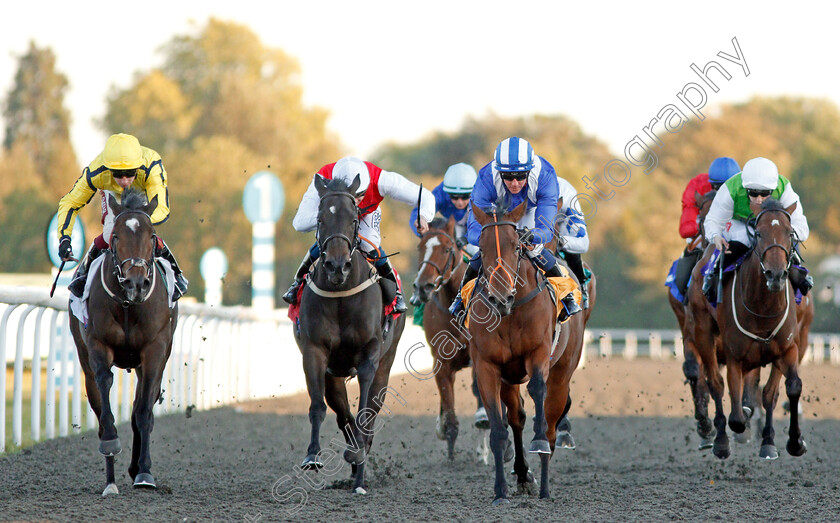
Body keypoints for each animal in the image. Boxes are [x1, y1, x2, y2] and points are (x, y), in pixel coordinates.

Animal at [69, 188, 179, 496]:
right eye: (115, 236)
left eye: (152, 235)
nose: (136, 283)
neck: (129, 306)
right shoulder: (98, 345)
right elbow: (105, 392)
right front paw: (110, 447)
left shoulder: (154, 352)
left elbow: (143, 412)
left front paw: (144, 472)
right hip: (84, 360)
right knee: (98, 402)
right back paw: (111, 478)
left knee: (142, 405)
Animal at [294, 176, 406, 496]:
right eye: (320, 218)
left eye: (354, 219)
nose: (336, 265)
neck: (341, 295)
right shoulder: (314, 352)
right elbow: (318, 406)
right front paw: (312, 455)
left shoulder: (370, 353)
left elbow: (365, 409)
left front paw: (358, 458)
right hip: (334, 375)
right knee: (342, 413)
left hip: (387, 361)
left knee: (370, 410)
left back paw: (359, 467)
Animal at [466, 200, 584, 504]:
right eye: (481, 247)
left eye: (516, 245)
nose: (500, 297)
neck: (510, 313)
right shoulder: (488, 366)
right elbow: (499, 429)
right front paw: (500, 492)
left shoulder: (538, 354)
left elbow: (537, 391)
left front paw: (538, 445)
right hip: (509, 378)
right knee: (516, 417)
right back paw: (522, 474)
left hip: (562, 373)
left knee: (551, 426)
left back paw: (543, 485)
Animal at [708, 199, 808, 460]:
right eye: (759, 233)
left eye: (789, 233)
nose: (776, 274)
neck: (763, 308)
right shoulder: (735, 355)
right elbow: (736, 414)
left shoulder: (788, 348)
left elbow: (789, 388)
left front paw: (794, 441)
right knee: (714, 383)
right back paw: (720, 442)